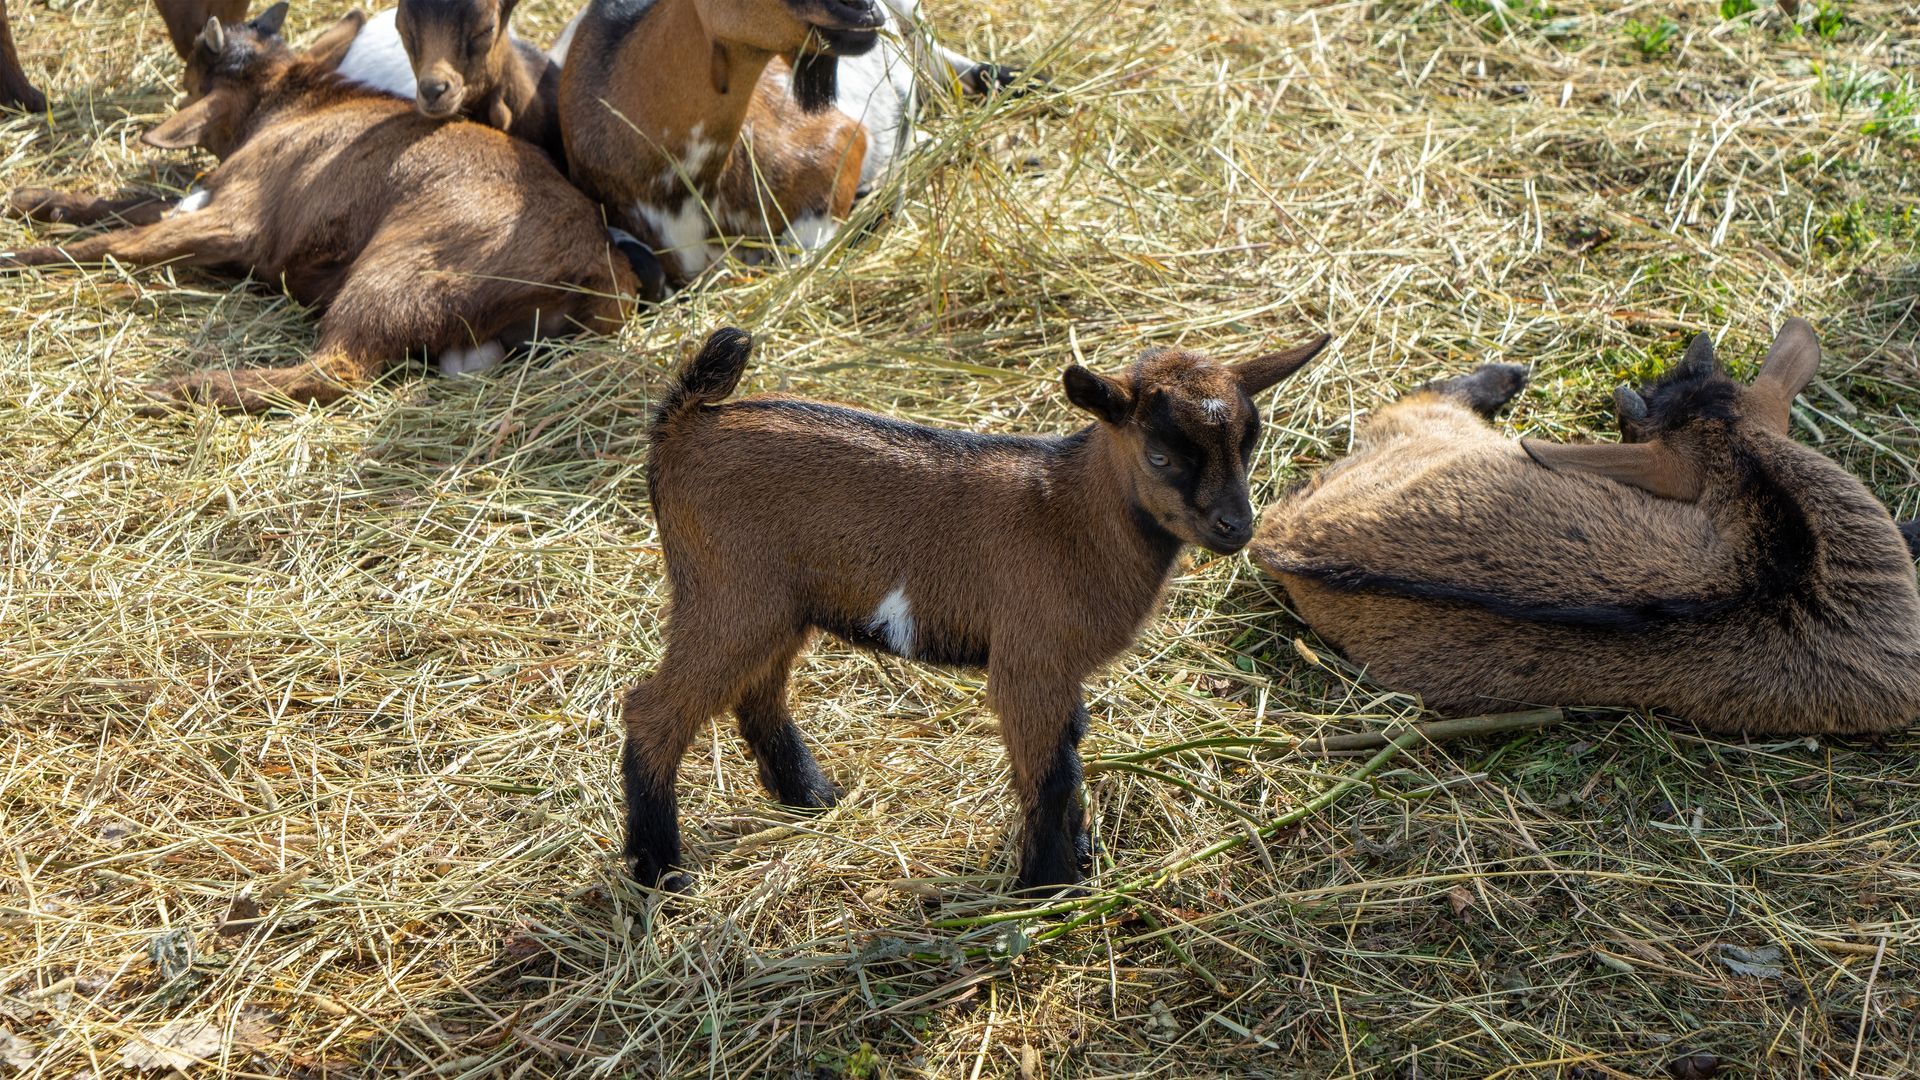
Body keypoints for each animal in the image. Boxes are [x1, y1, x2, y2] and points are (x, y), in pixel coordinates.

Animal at [622, 325, 1328, 894]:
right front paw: (1047, 885)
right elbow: (1047, 770)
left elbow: (1068, 752)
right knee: (654, 709)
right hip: (730, 594)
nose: (1237, 527)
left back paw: (811, 797)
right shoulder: (1030, 659)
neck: (1073, 514)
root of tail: (683, 425)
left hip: (772, 605)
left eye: (1249, 445)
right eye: (1161, 457)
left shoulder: (1059, 667)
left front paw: (1077, 855)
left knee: (757, 692)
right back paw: (658, 868)